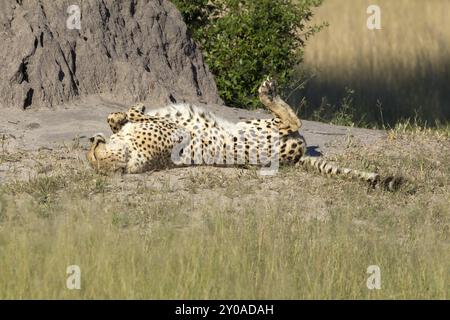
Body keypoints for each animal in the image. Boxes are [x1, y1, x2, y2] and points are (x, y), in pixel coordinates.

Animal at [86, 79, 402, 191]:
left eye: (91, 155)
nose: (91, 141)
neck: (127, 152)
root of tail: (295, 160)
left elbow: (117, 118)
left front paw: (120, 116)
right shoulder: (174, 131)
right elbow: (137, 115)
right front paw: (131, 111)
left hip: (252, 121)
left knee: (291, 120)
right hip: (266, 129)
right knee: (292, 121)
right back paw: (267, 92)